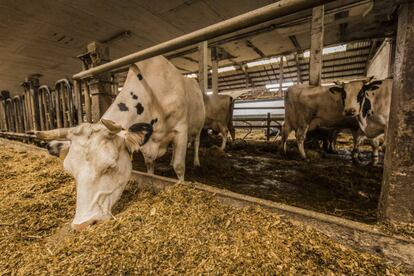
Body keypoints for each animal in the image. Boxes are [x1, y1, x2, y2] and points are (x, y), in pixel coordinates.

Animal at [36, 55, 205, 229]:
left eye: (110, 166)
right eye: (70, 171)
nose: (82, 224)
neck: (153, 96)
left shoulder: (181, 130)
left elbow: (179, 166)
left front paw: (181, 184)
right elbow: (150, 166)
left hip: (198, 127)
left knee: (197, 142)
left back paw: (196, 162)